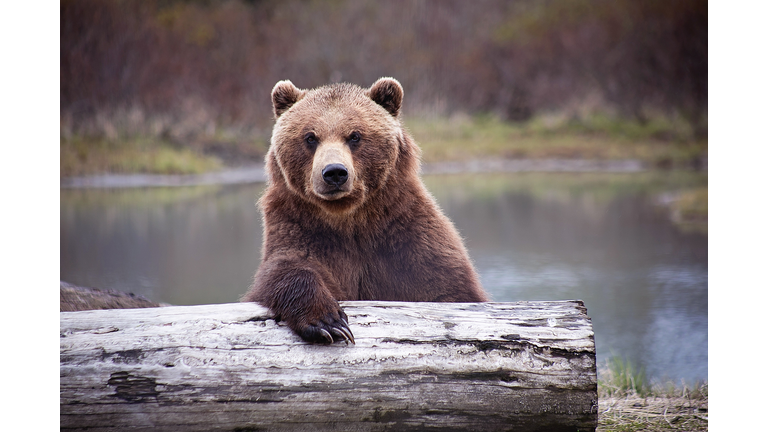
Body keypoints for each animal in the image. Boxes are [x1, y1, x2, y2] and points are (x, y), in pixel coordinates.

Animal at [243, 77, 488, 344]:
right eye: (310, 137)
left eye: (355, 136)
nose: (334, 172)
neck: (350, 219)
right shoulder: (299, 227)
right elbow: (285, 269)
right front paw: (328, 323)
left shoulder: (406, 236)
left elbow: (449, 288)